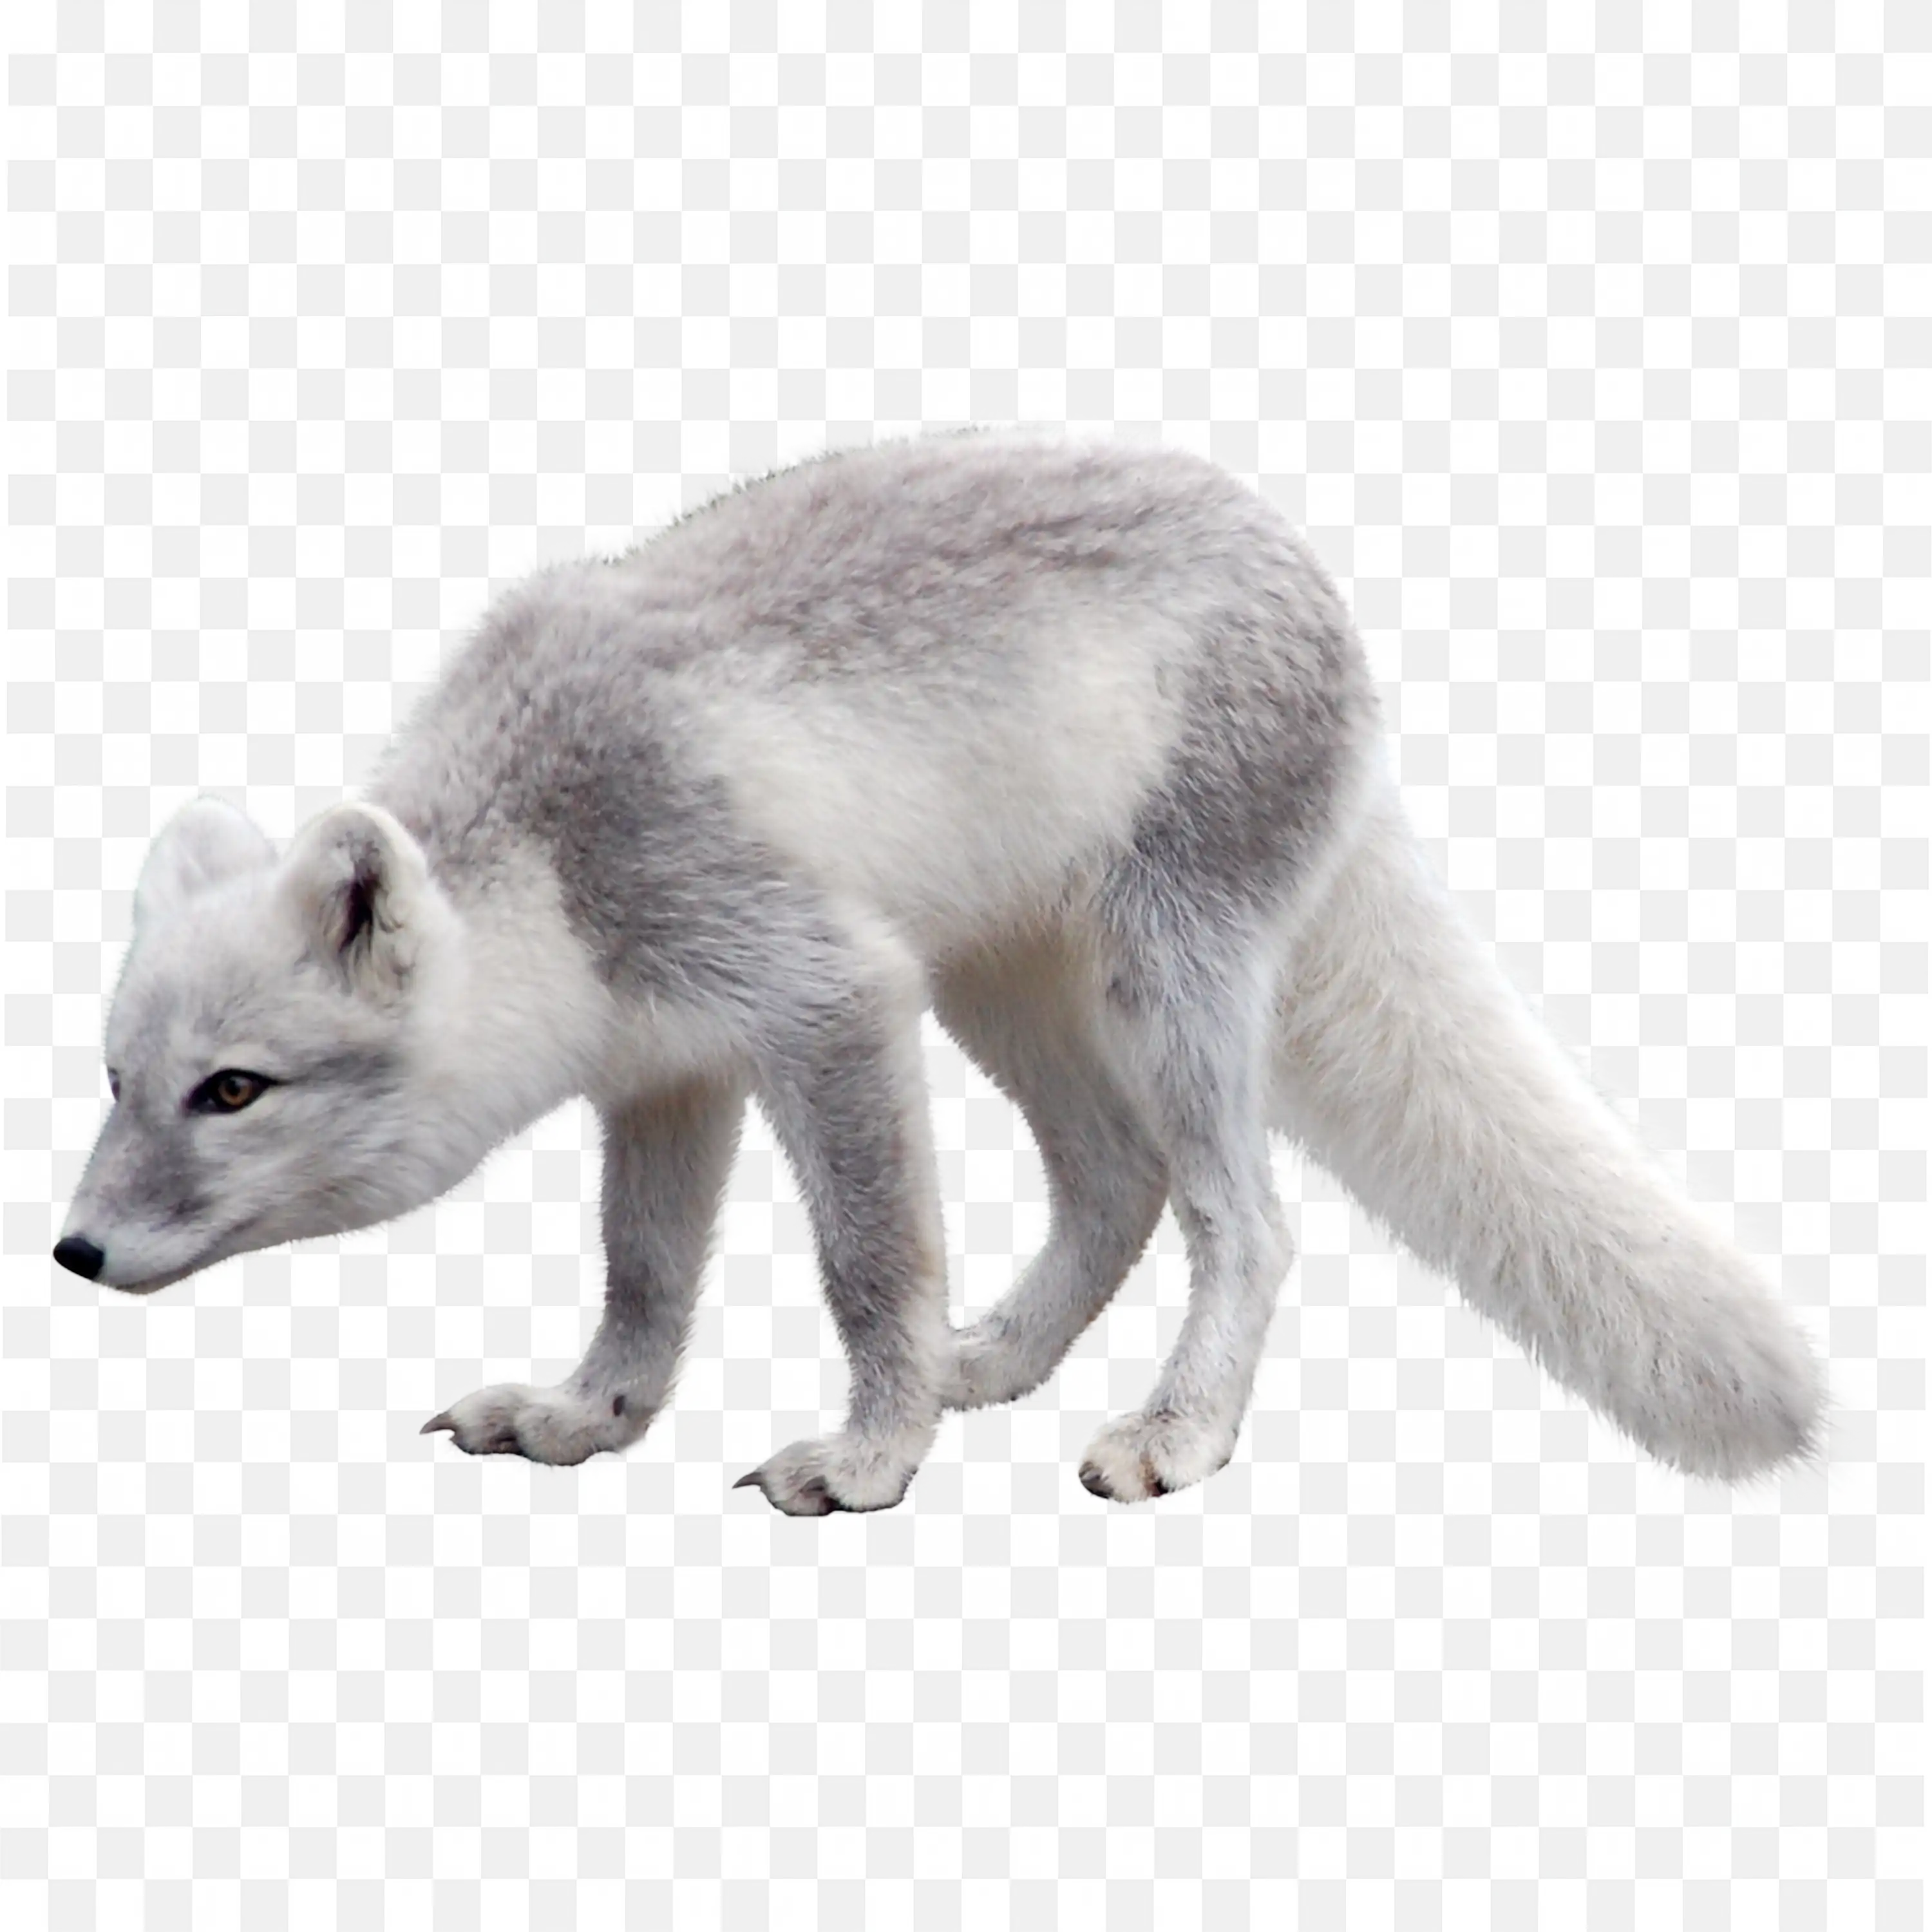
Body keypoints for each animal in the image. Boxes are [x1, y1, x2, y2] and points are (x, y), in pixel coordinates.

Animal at [53, 429, 1827, 1513]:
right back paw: (1010, 1366)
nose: (69, 1252)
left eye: (234, 1091)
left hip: (1163, 982)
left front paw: (868, 1456)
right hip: (997, 989)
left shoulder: (821, 992)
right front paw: (588, 1421)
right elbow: (643, 1279)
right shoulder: (667, 1065)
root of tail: (1287, 546)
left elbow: (865, 1261)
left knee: (1240, 1219)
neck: (547, 834)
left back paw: (1178, 1431)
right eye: (116, 1080)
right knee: (1113, 1182)